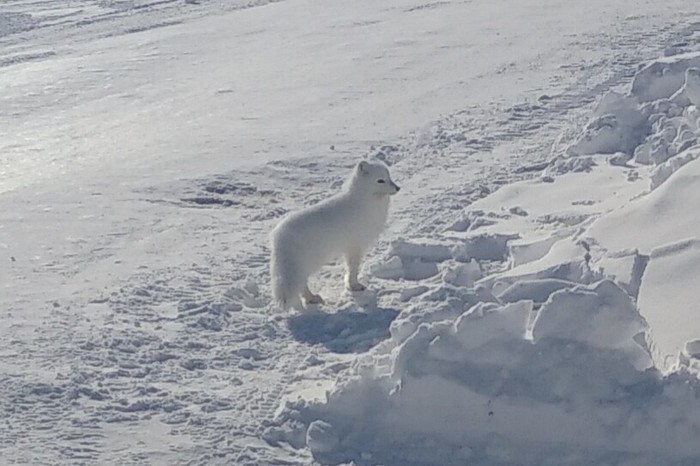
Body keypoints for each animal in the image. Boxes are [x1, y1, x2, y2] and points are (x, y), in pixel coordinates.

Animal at [270, 160, 400, 310]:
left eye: (389, 177)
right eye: (380, 180)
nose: (398, 188)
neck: (363, 202)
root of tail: (279, 236)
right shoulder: (354, 246)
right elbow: (353, 268)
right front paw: (354, 286)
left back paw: (310, 299)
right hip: (307, 263)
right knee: (301, 283)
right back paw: (308, 300)